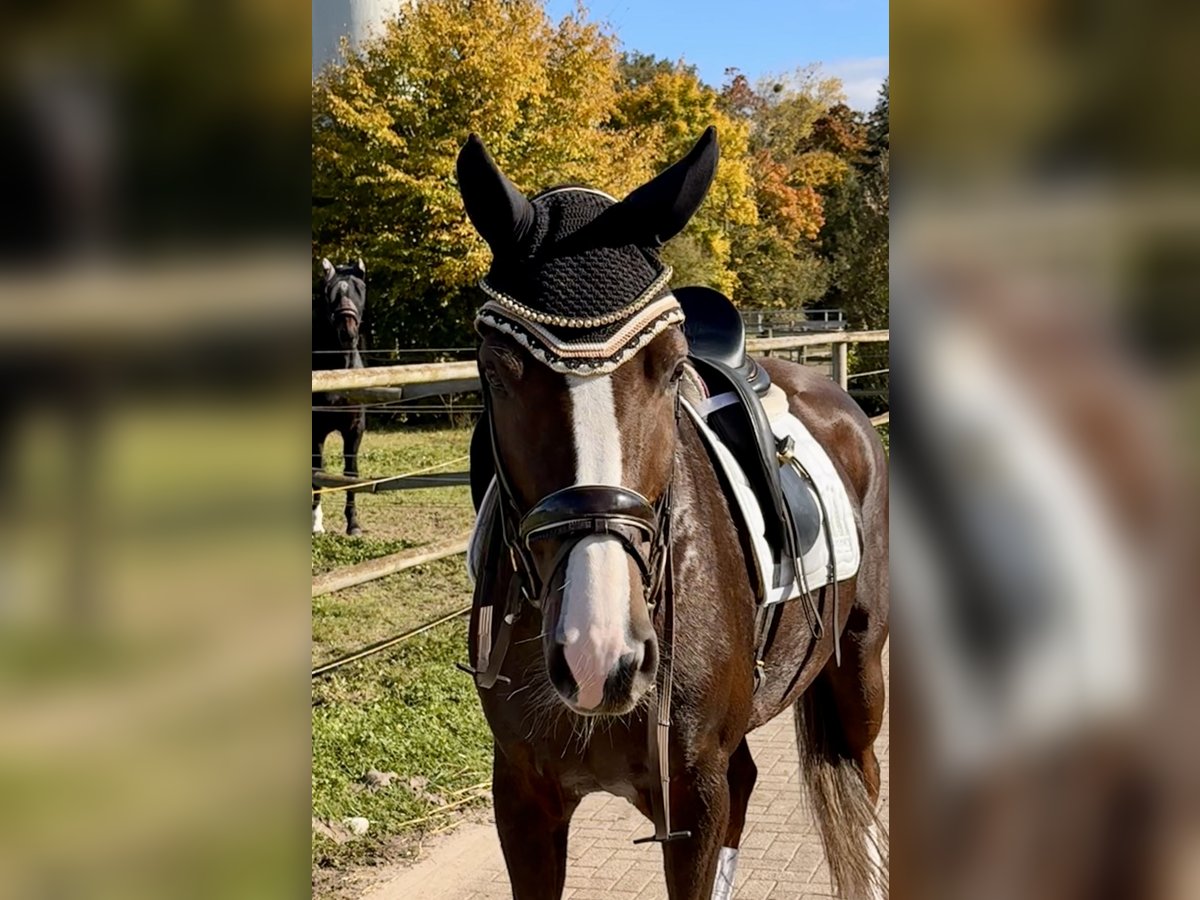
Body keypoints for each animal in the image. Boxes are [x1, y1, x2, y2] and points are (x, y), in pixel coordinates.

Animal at [458, 127, 889, 900]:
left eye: (671, 364)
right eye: (496, 369)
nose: (599, 653)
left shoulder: (692, 797)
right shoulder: (522, 797)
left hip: (860, 666)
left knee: (864, 783)